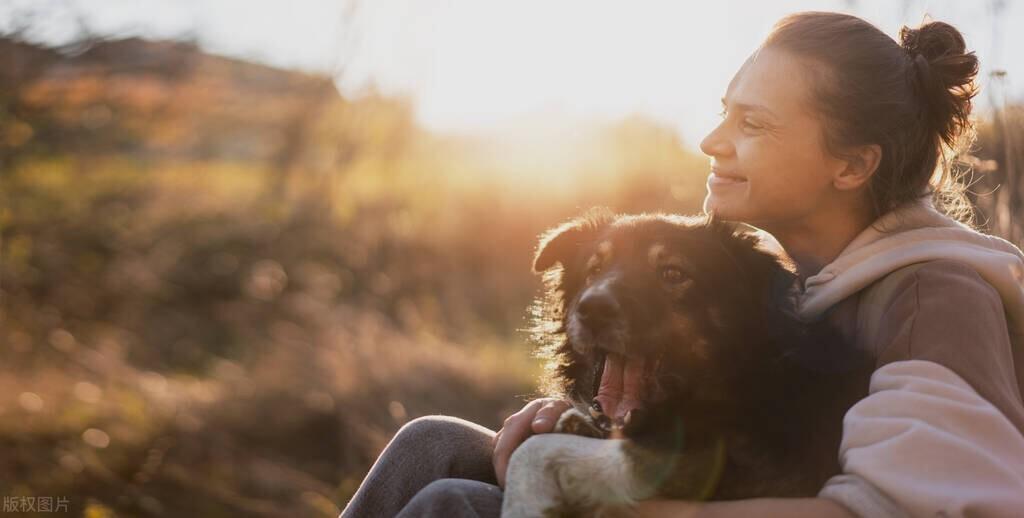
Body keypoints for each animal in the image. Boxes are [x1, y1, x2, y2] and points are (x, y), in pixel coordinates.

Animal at [499, 211, 868, 518]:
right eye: (594, 270)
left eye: (673, 273)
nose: (594, 308)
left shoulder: (729, 465)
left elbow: (534, 449)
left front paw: (524, 502)